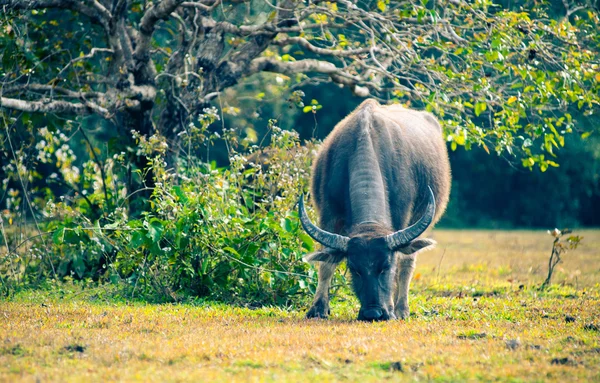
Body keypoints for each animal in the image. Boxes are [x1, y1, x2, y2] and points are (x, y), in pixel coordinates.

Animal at [300, 99, 450, 320]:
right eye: (354, 269)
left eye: (385, 267)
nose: (373, 313)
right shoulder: (328, 215)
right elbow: (326, 264)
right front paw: (318, 308)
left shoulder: (402, 217)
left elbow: (400, 264)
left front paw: (393, 309)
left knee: (407, 263)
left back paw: (401, 309)